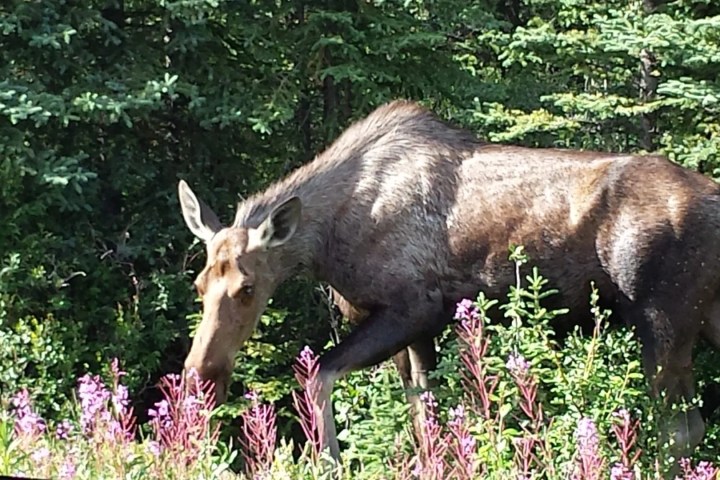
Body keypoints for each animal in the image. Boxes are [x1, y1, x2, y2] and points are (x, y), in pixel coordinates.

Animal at [177, 99, 720, 463]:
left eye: (248, 289)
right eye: (199, 285)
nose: (201, 374)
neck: (324, 244)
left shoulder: (413, 307)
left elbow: (319, 376)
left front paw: (328, 461)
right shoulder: (417, 329)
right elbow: (424, 416)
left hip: (663, 316)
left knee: (678, 430)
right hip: (705, 316)